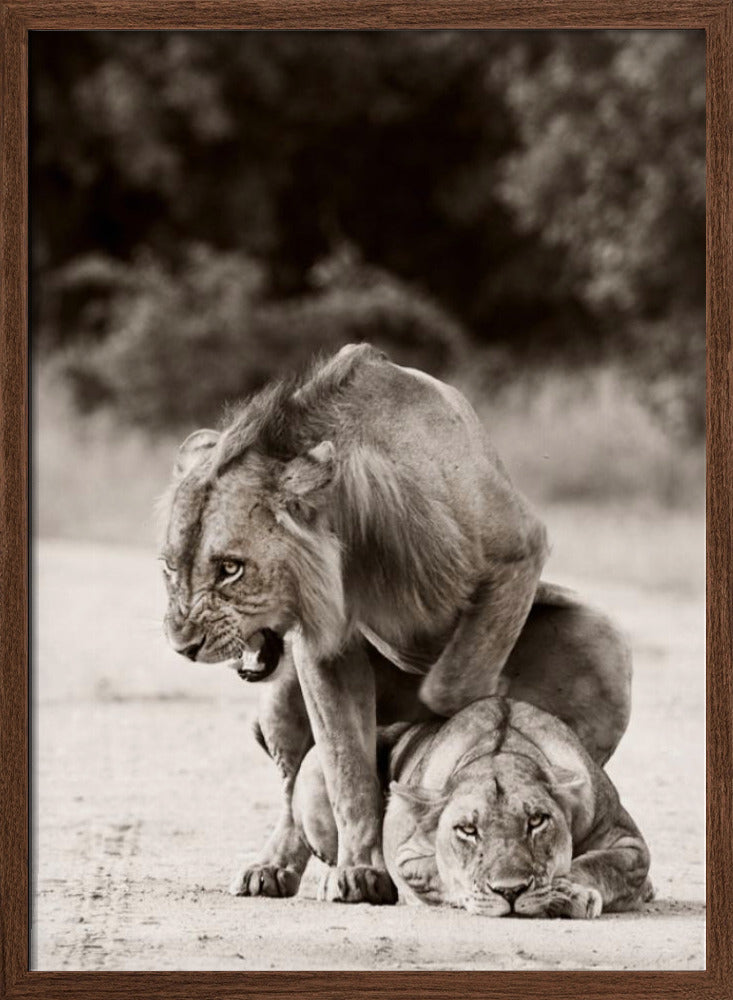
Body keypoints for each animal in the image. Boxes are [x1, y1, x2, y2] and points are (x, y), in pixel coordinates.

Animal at [159, 343, 630, 904]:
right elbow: (346, 766)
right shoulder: (324, 648)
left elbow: (451, 689)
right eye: (170, 568)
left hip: (599, 642)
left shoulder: (517, 552)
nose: (183, 646)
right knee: (295, 785)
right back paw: (272, 867)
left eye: (231, 568)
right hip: (279, 696)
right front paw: (361, 869)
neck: (352, 529)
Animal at [292, 697, 652, 917]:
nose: (511, 891)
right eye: (467, 829)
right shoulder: (406, 855)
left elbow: (599, 864)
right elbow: (443, 873)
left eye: (536, 821)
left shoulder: (629, 844)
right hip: (314, 763)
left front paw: (568, 892)